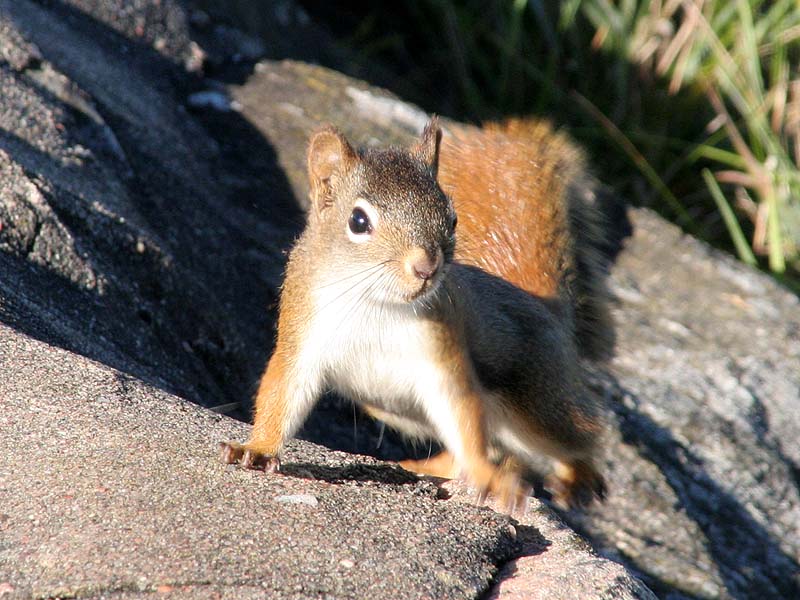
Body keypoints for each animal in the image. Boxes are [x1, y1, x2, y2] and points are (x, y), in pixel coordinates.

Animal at [222, 118, 608, 510]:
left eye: (453, 219)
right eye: (357, 221)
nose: (426, 268)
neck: (374, 303)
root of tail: (545, 308)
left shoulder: (442, 352)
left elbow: (463, 414)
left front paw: (486, 476)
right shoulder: (302, 333)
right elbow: (281, 392)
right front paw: (257, 448)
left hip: (537, 401)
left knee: (578, 435)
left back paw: (578, 477)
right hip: (394, 409)